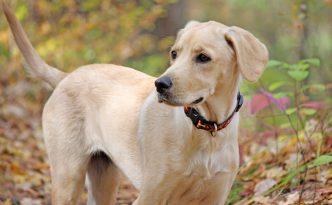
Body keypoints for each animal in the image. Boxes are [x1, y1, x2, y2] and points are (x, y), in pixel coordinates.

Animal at [1, 2, 268, 205]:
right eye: (174, 53)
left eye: (203, 57)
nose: (160, 84)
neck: (206, 129)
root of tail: (66, 76)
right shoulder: (150, 196)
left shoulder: (215, 196)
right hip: (68, 176)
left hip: (104, 178)